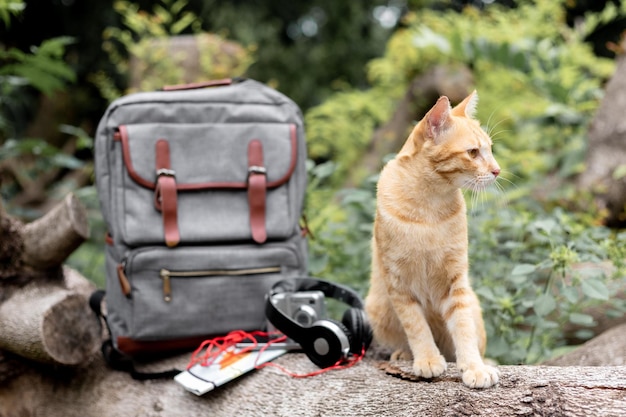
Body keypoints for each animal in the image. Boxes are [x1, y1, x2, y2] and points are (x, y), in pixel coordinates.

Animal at [366, 90, 498, 386]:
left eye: (490, 149)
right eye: (473, 152)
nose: (497, 171)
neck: (429, 208)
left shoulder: (456, 282)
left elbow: (463, 328)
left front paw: (475, 367)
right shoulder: (398, 283)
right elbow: (416, 326)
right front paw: (426, 358)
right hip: (377, 307)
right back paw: (404, 353)